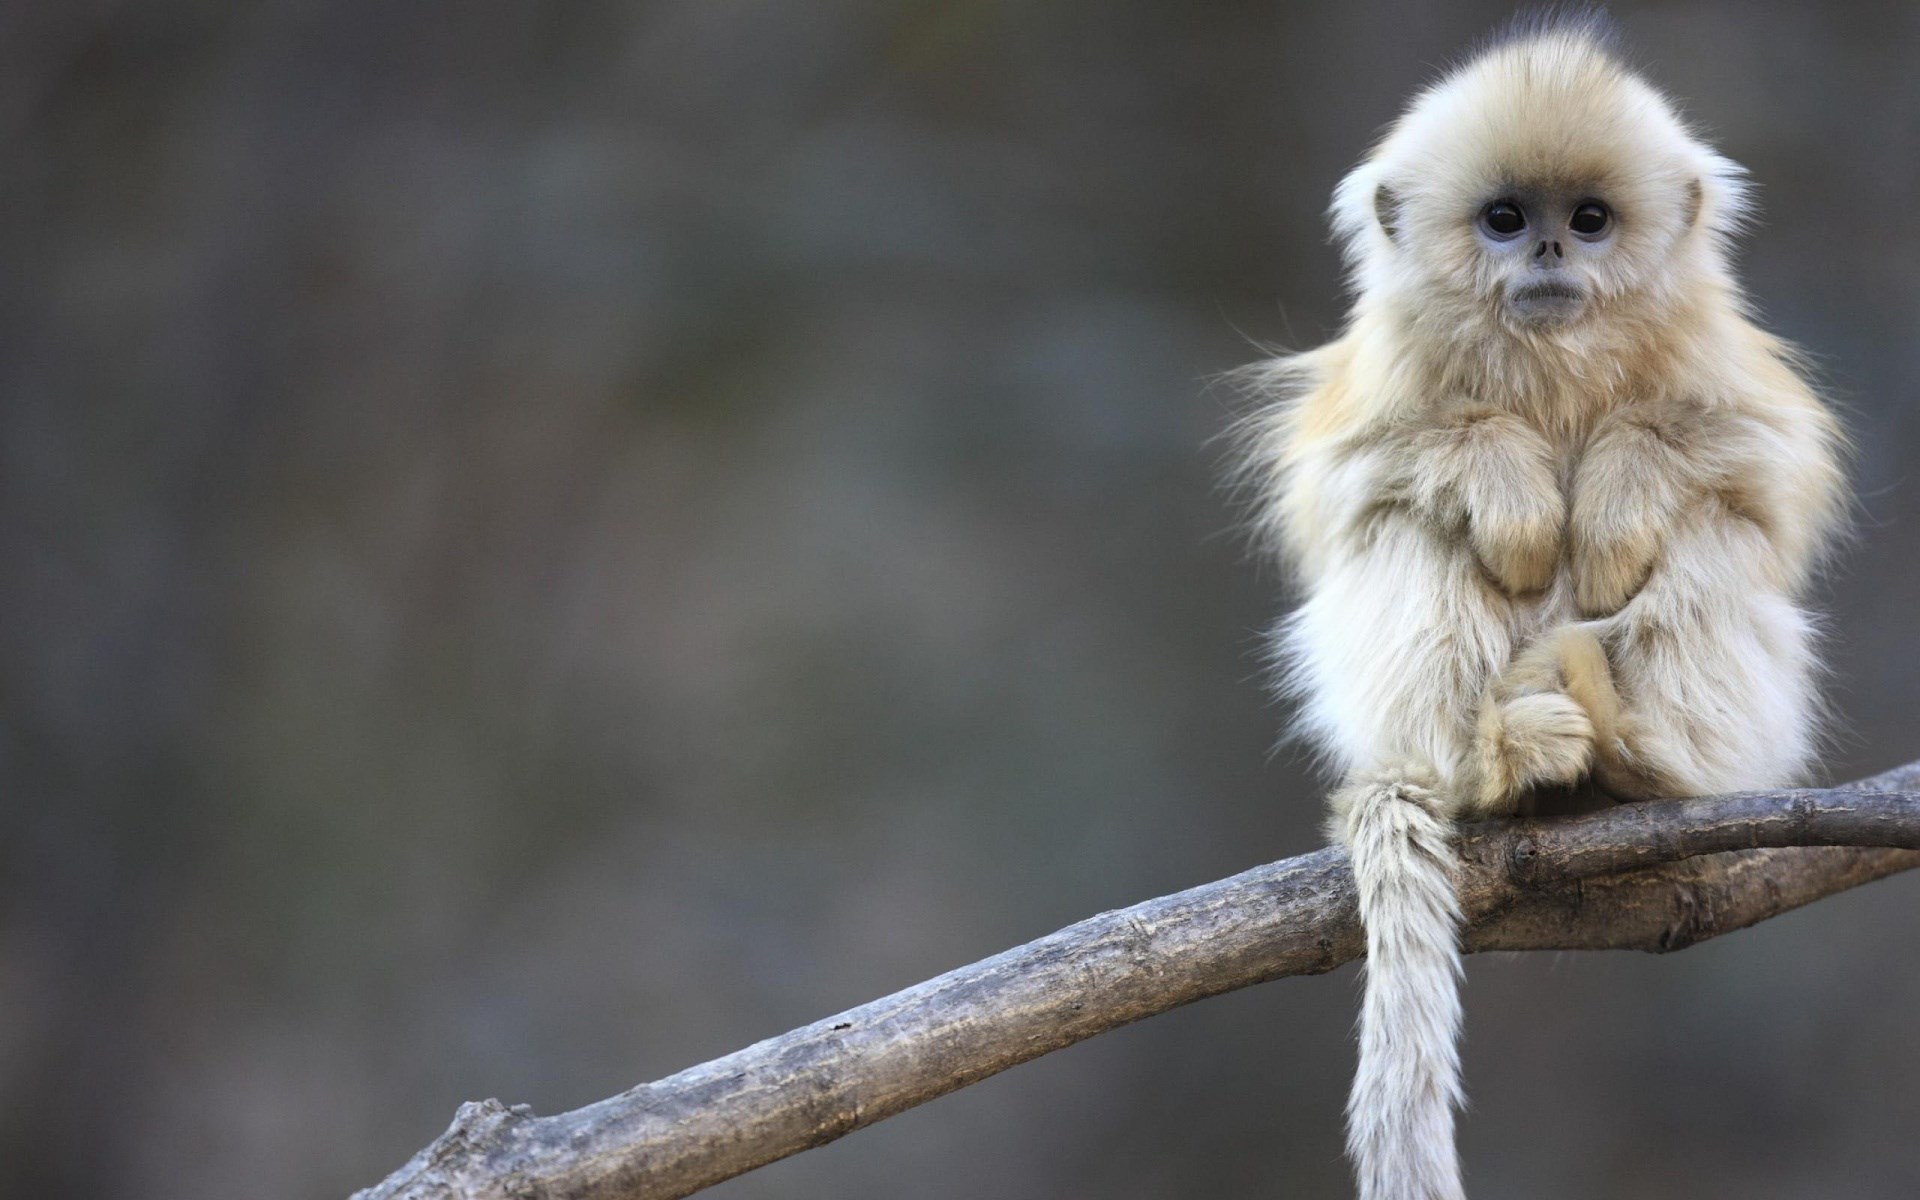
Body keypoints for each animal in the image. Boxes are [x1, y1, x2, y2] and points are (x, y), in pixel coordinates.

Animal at [1236, 16, 1846, 1200]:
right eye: (1507, 219)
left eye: (1591, 220)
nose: (1553, 254)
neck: (1554, 360)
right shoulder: (1381, 382)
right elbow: (1355, 482)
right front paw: (1513, 489)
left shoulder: (1722, 363)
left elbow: (1759, 468)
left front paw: (1611, 499)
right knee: (1410, 529)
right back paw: (1498, 762)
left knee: (1713, 533)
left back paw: (1636, 755)